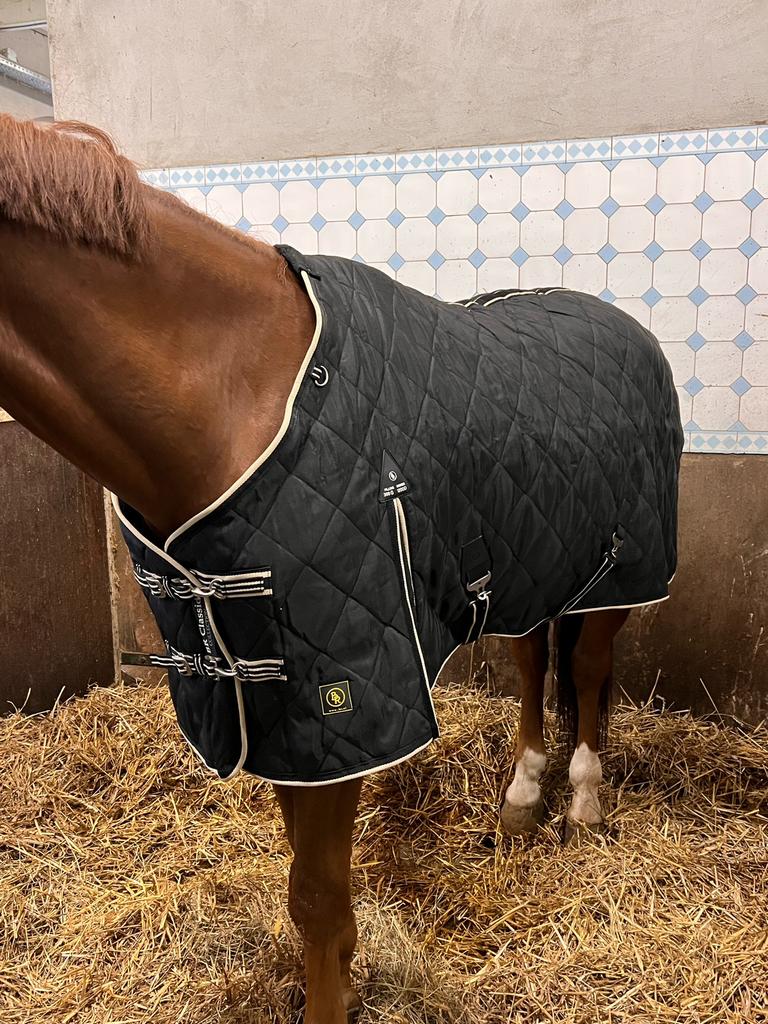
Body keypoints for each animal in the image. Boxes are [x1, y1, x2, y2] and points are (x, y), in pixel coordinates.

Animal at [0, 115, 682, 1024]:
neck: (234, 396)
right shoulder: (280, 713)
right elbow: (311, 887)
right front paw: (352, 981)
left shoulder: (342, 699)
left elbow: (316, 898)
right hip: (529, 569)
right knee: (535, 663)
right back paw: (519, 805)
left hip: (619, 573)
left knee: (592, 670)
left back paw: (581, 804)